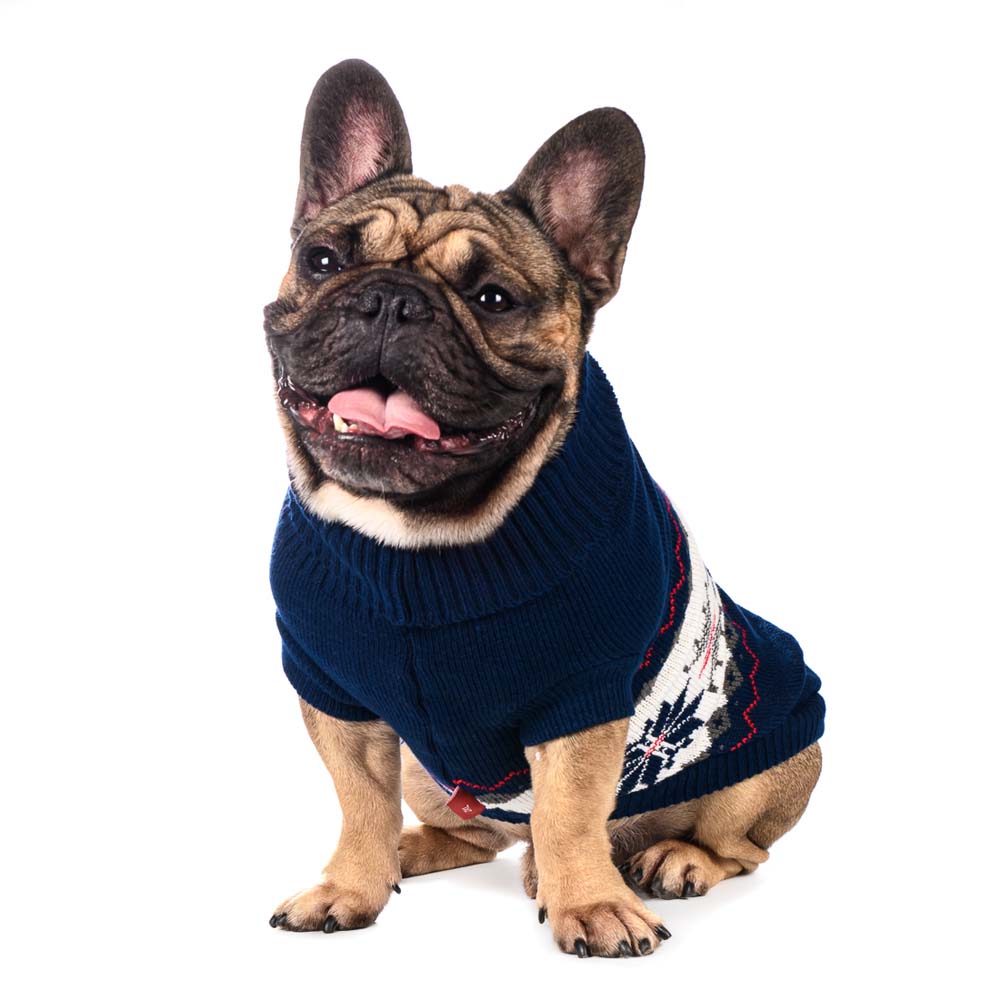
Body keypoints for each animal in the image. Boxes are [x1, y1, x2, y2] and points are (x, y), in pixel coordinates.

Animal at [263, 59, 824, 958]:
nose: (389, 299)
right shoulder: (334, 692)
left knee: (732, 845)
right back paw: (420, 850)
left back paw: (668, 861)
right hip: (427, 771)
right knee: (468, 828)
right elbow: (357, 802)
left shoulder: (582, 694)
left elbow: (569, 810)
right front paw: (349, 886)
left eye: (494, 299)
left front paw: (589, 904)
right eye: (320, 259)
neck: (422, 538)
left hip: (768, 767)